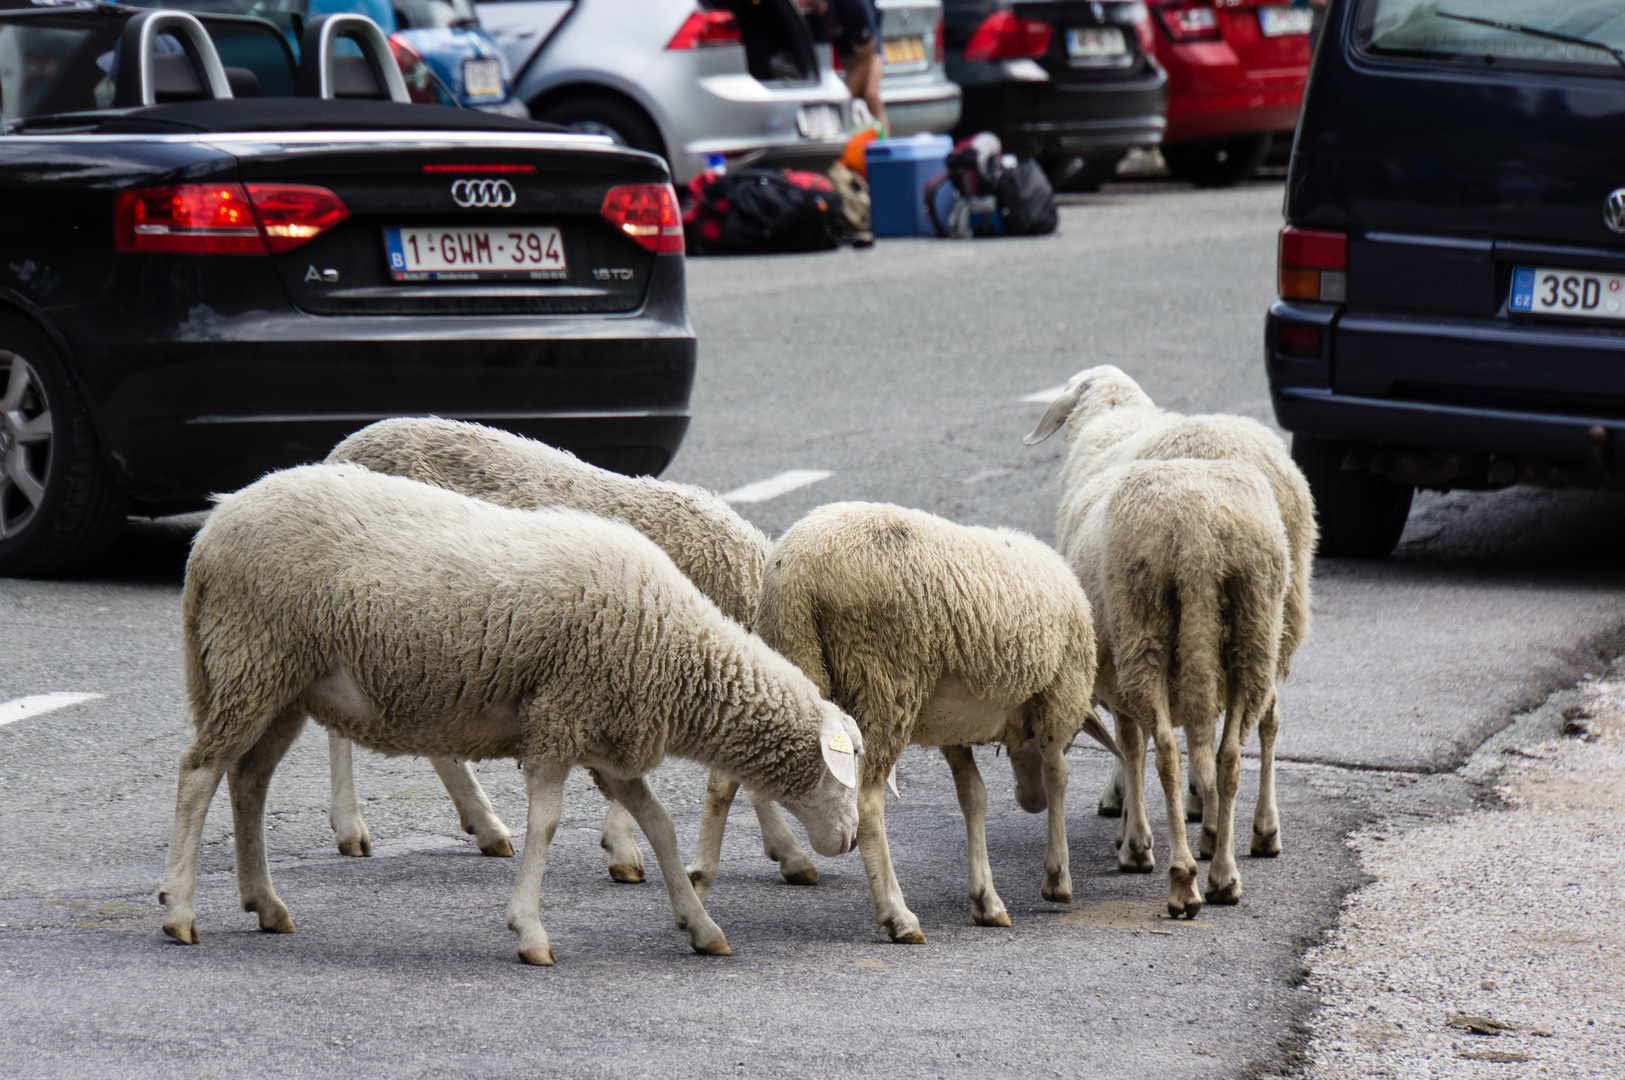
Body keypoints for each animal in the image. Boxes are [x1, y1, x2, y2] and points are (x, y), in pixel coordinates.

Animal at [160, 464, 871, 961]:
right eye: (849, 765)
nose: (850, 839)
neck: (672, 647)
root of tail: (213, 528)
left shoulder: (605, 741)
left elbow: (661, 826)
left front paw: (700, 924)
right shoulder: (560, 721)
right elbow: (548, 826)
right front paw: (529, 931)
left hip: (282, 685)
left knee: (248, 781)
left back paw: (265, 903)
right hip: (252, 658)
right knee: (199, 772)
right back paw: (180, 911)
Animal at [724, 500, 1118, 941]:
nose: (1029, 802)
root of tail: (796, 573)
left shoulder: (955, 728)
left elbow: (974, 797)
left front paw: (986, 899)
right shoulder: (1061, 694)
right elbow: (1059, 778)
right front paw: (1057, 878)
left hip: (790, 650)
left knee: (727, 776)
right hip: (884, 681)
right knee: (867, 800)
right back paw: (898, 915)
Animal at [1027, 362, 1319, 857]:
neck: (1113, 417)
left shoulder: (1115, 644)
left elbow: (1132, 737)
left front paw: (1128, 813)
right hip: (1271, 617)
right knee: (1265, 717)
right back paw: (1261, 827)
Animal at [1059, 457, 1287, 915]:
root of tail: (1199, 537)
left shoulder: (1118, 690)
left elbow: (1131, 749)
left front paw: (1134, 843)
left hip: (1141, 629)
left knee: (1167, 752)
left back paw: (1183, 879)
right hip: (1254, 629)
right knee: (1230, 754)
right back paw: (1224, 875)